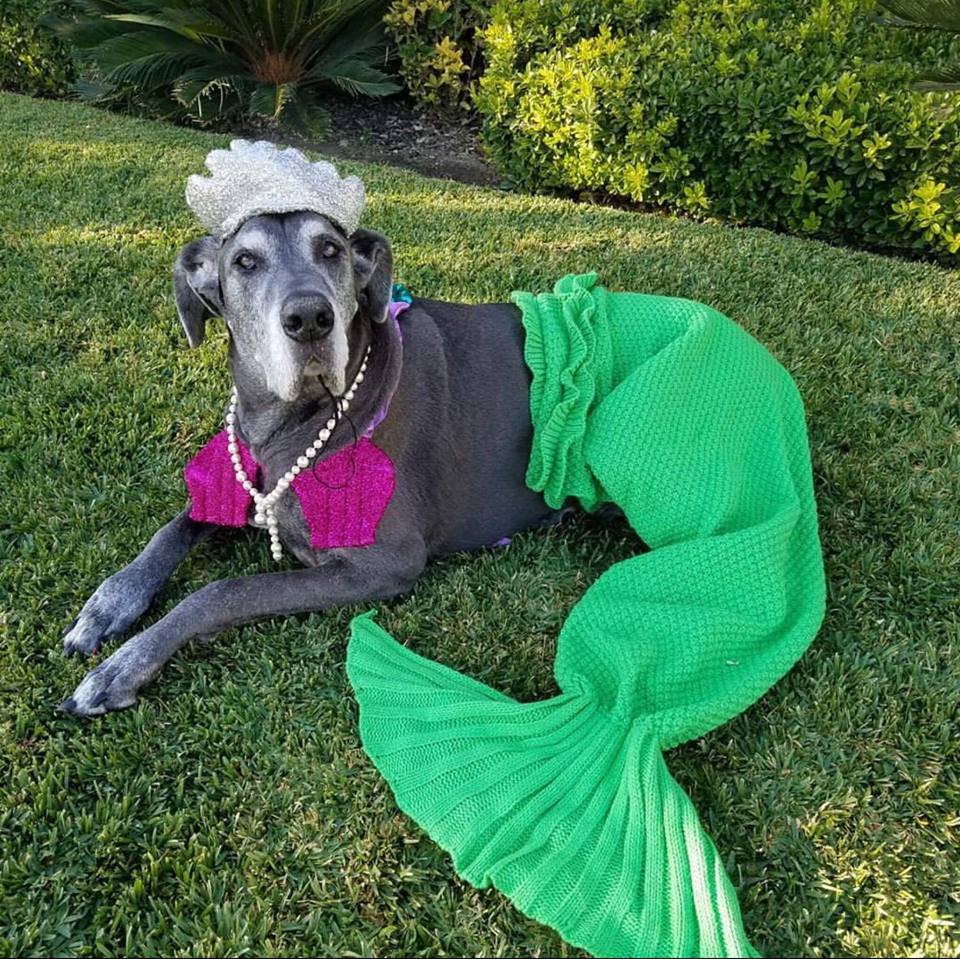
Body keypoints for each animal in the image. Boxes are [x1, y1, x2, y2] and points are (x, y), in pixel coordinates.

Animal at [62, 212, 564, 720]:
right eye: (245, 261)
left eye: (330, 250)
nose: (309, 318)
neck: (295, 420)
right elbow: (172, 530)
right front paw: (111, 603)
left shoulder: (384, 563)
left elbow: (224, 590)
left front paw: (125, 665)